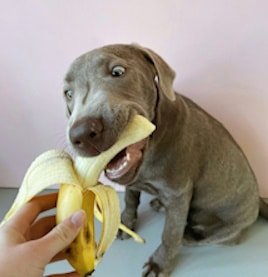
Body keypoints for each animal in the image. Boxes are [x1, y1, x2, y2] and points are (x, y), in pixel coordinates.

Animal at [63, 44, 268, 274]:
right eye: (68, 93)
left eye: (118, 72)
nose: (81, 134)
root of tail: (258, 201)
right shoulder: (133, 180)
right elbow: (131, 200)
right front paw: (126, 223)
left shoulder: (179, 193)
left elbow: (170, 234)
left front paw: (158, 264)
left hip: (229, 228)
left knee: (214, 237)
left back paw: (189, 235)